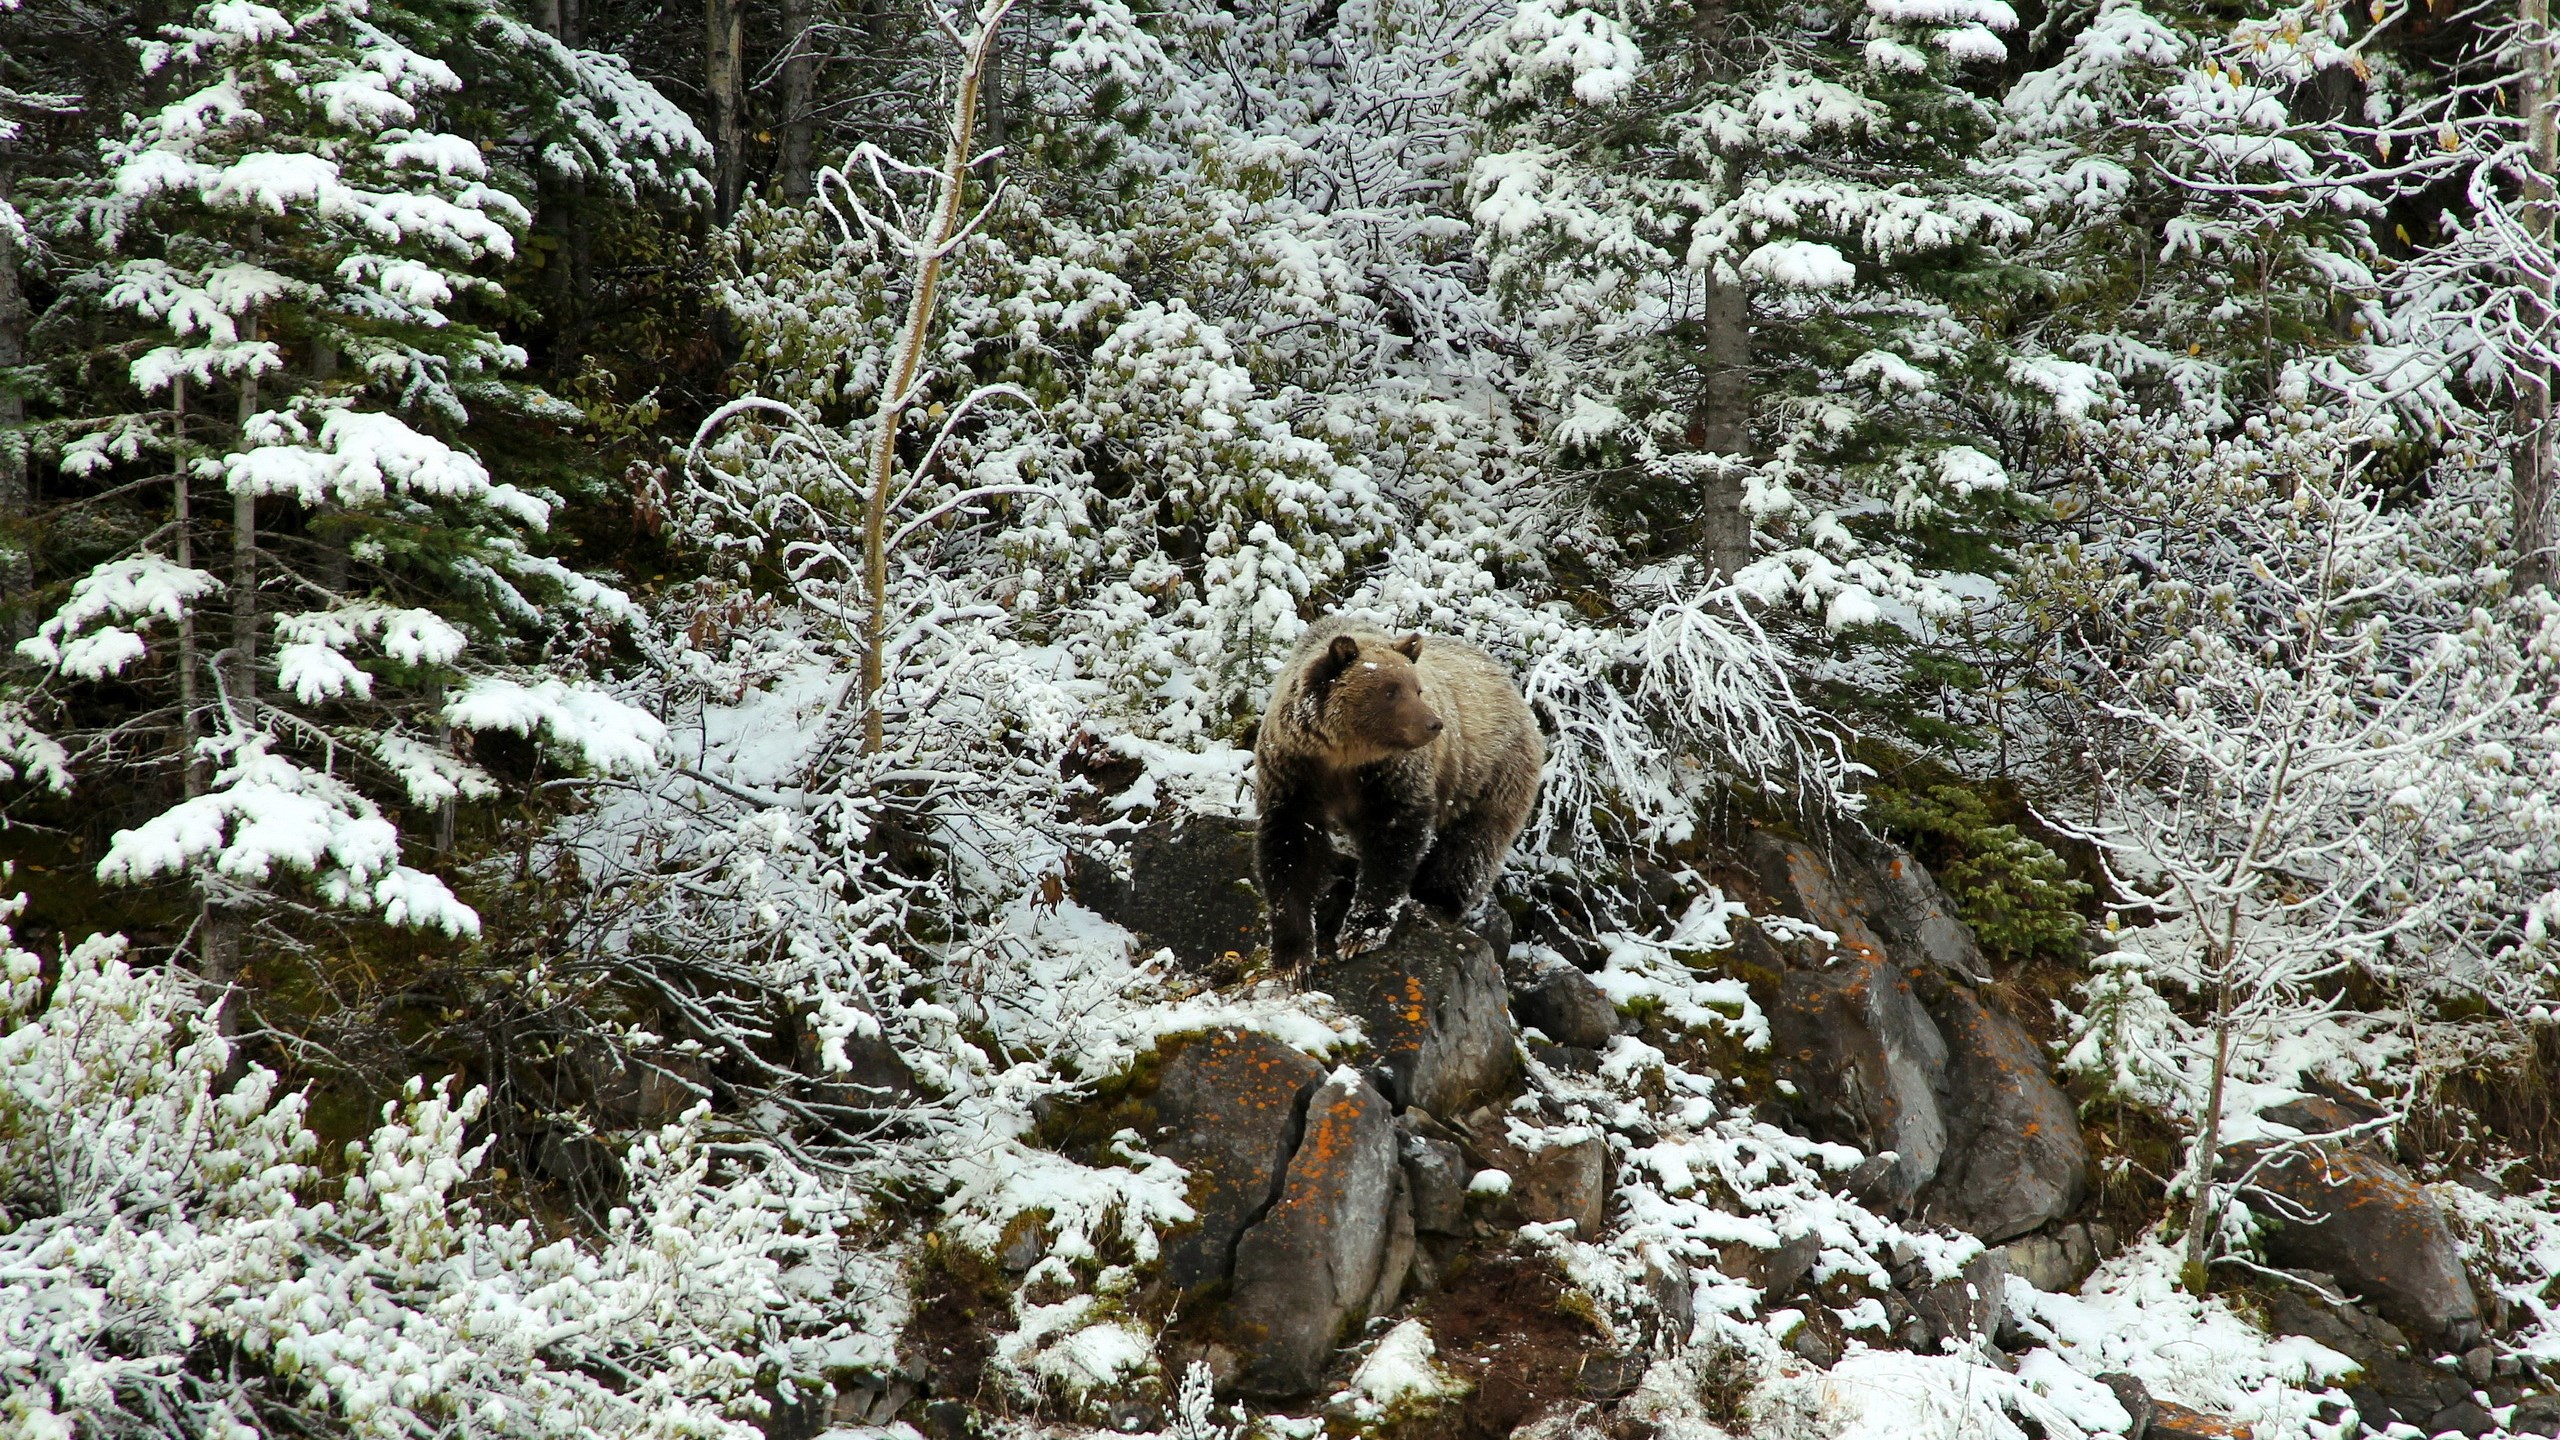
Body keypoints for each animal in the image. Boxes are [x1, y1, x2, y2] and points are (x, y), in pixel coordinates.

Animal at [1254, 615, 1544, 970]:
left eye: (1417, 688)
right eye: (1390, 691)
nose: (1434, 723)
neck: (1344, 755)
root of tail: (1515, 690)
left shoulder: (1390, 775)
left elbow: (1394, 841)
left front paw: (1359, 932)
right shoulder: (1295, 769)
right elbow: (1290, 843)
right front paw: (1293, 953)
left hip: (1493, 775)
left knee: (1470, 848)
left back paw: (1437, 900)